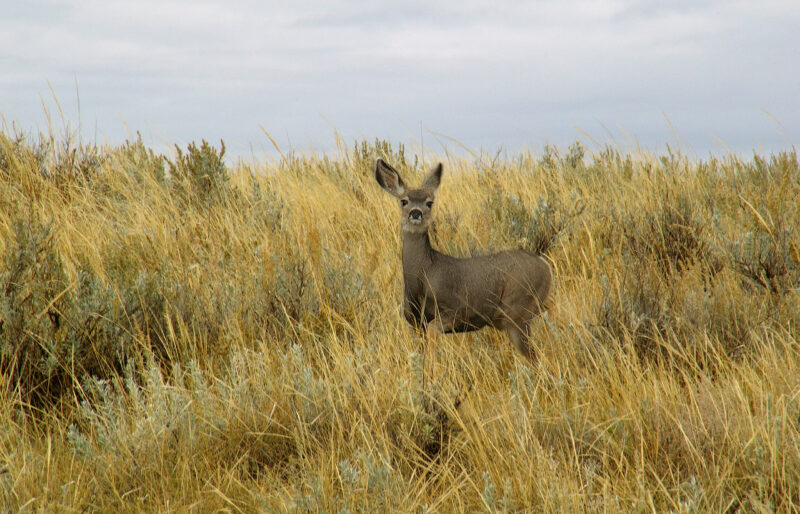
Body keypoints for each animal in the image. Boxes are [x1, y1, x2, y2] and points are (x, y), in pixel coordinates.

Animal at [374, 158, 552, 358]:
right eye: (404, 201)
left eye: (429, 203)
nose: (415, 213)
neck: (425, 272)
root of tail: (545, 266)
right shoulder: (415, 320)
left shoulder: (457, 308)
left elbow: (433, 333)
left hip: (517, 311)